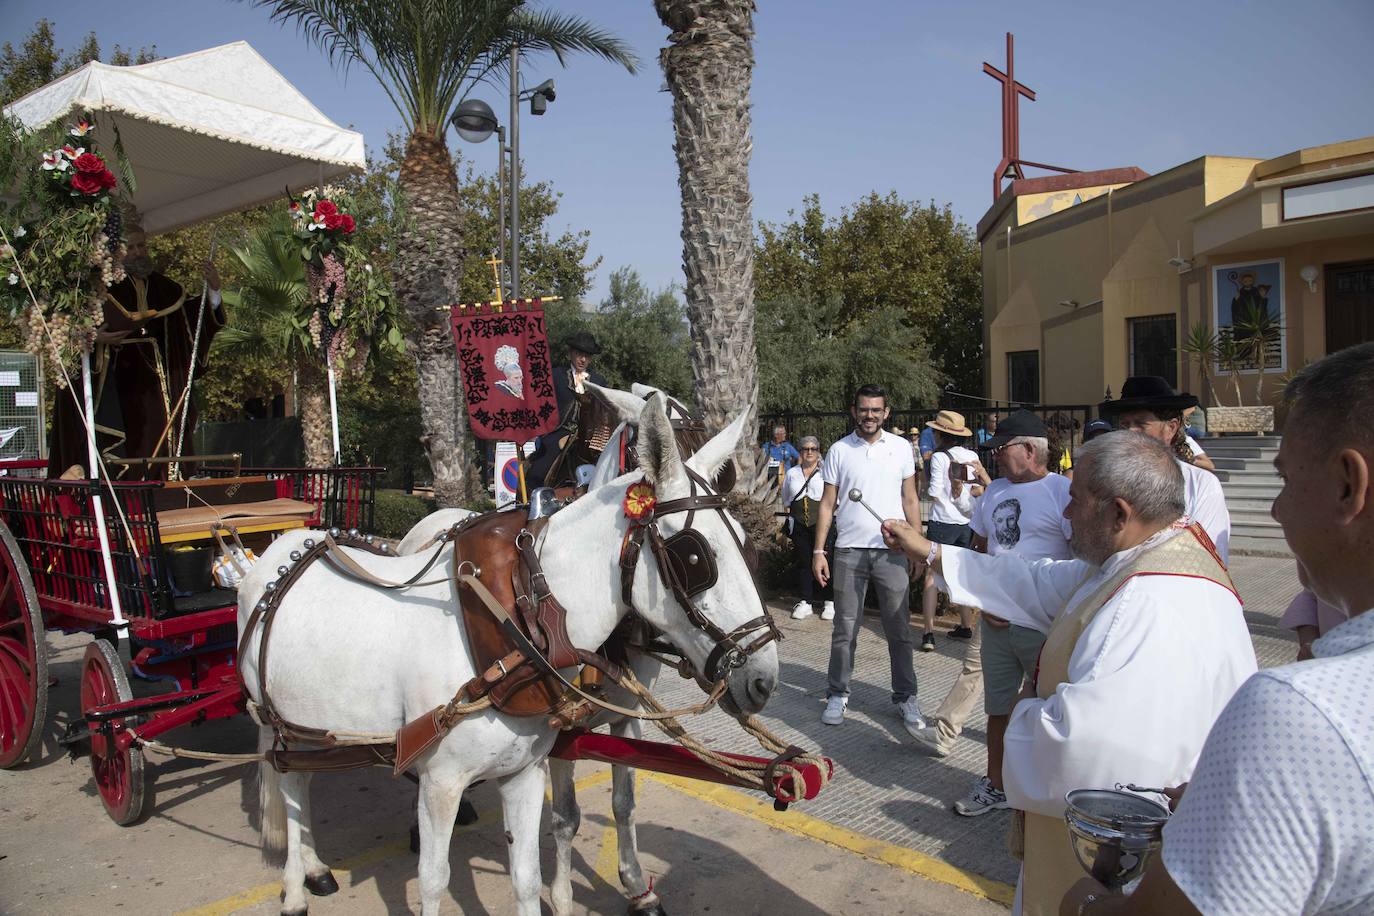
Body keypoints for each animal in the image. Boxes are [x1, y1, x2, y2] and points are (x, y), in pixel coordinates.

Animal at [241, 398, 780, 916]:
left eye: (747, 544)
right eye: (695, 557)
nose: (763, 678)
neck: (523, 616)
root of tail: (288, 549)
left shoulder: (529, 768)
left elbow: (535, 870)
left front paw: (627, 889)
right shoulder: (442, 782)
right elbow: (435, 880)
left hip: (309, 723)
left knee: (301, 780)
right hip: (276, 720)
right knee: (290, 787)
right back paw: (298, 886)